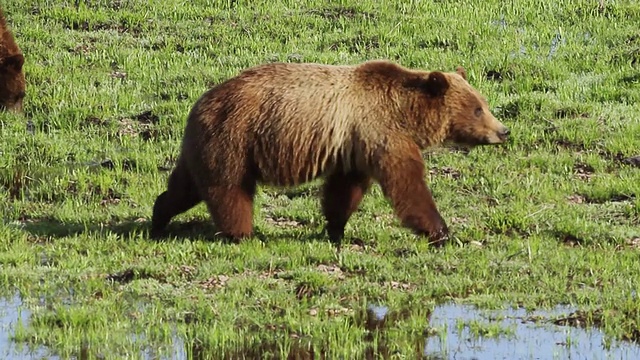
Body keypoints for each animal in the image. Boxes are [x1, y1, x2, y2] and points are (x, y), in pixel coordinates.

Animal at [151, 59, 510, 248]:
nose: (503, 130)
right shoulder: (381, 134)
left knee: (185, 187)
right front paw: (441, 231)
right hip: (235, 138)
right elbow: (408, 186)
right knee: (228, 189)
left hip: (205, 145)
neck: (405, 114)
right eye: (478, 108)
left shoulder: (353, 147)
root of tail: (200, 103)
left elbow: (343, 191)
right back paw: (241, 234)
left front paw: (336, 230)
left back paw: (159, 218)